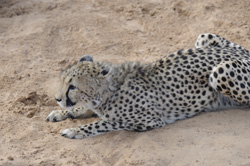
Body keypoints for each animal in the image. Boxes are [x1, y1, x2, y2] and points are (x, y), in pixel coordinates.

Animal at [46, 32, 250, 139]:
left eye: (73, 87)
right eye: (62, 81)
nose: (57, 98)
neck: (109, 91)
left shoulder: (150, 120)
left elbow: (104, 122)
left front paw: (74, 130)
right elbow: (85, 110)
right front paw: (60, 113)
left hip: (220, 72)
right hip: (204, 38)